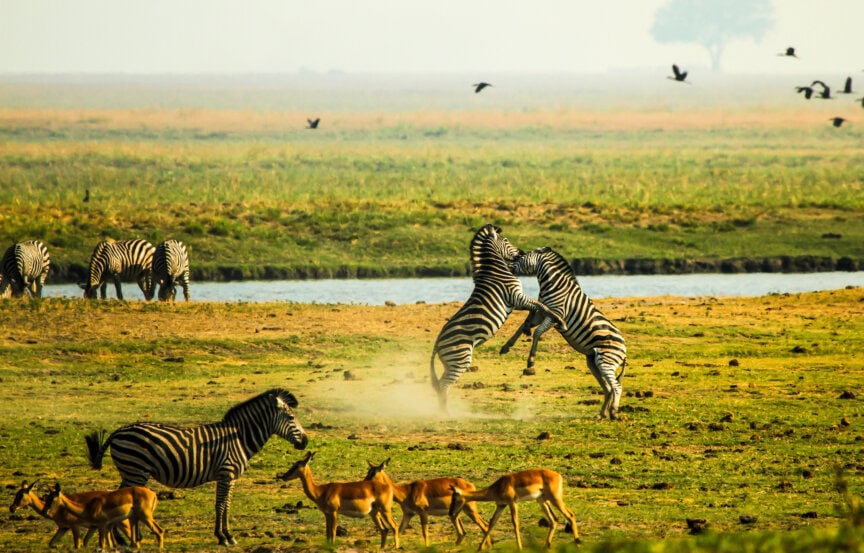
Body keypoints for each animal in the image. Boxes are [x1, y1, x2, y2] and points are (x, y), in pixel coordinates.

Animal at [84, 388, 309, 546]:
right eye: (291, 417)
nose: (306, 441)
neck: (238, 437)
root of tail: (119, 430)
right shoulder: (226, 474)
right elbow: (221, 505)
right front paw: (223, 537)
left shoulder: (230, 477)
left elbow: (226, 505)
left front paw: (226, 535)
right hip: (135, 471)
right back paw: (124, 540)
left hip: (131, 472)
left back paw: (124, 539)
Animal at [429, 224, 566, 410]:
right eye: (506, 240)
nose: (521, 252)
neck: (495, 271)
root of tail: (437, 343)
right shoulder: (516, 296)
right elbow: (543, 306)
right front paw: (560, 320)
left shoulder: (518, 300)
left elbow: (535, 309)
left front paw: (526, 329)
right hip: (460, 358)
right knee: (443, 386)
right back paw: (446, 413)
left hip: (451, 362)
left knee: (442, 386)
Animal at [500, 247, 627, 419]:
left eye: (521, 256)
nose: (508, 267)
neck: (554, 285)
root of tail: (624, 349)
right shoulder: (544, 313)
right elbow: (523, 326)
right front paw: (506, 346)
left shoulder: (555, 315)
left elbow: (537, 333)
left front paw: (531, 361)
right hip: (594, 362)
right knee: (609, 388)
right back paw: (601, 414)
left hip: (606, 361)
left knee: (617, 386)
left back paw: (613, 412)